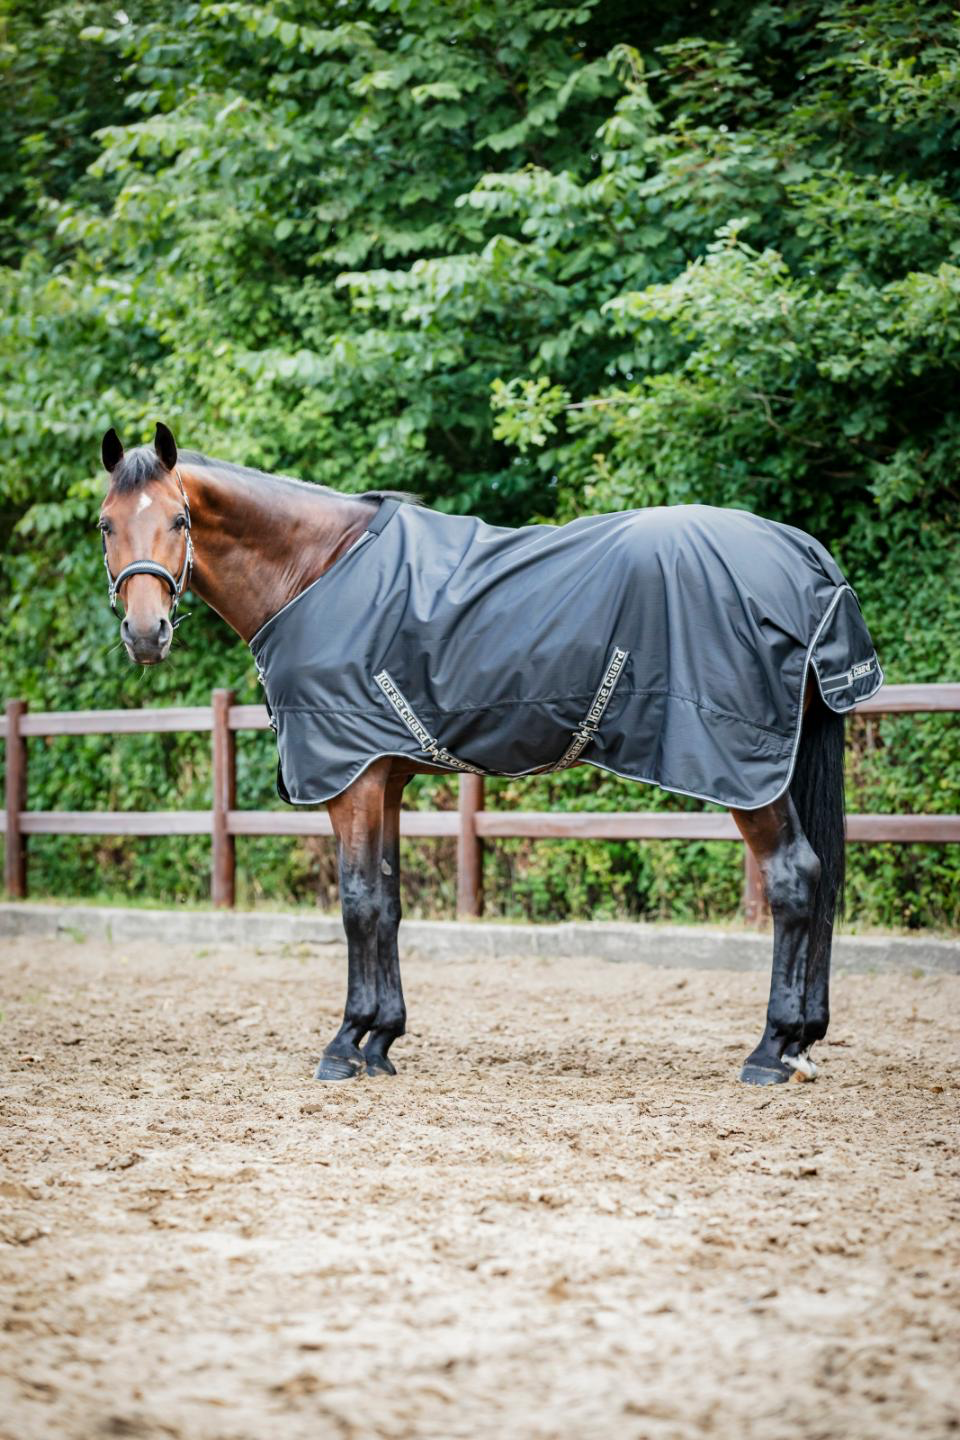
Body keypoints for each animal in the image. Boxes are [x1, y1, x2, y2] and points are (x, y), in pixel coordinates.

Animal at [97, 423, 879, 1086]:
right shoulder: (384, 777)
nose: (146, 633)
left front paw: (344, 1043)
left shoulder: (351, 779)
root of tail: (804, 558)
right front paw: (380, 1040)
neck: (316, 570)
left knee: (794, 878)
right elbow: (388, 902)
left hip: (749, 773)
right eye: (106, 523)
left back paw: (771, 1050)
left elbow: (357, 902)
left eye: (180, 521)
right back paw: (803, 1042)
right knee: (819, 880)